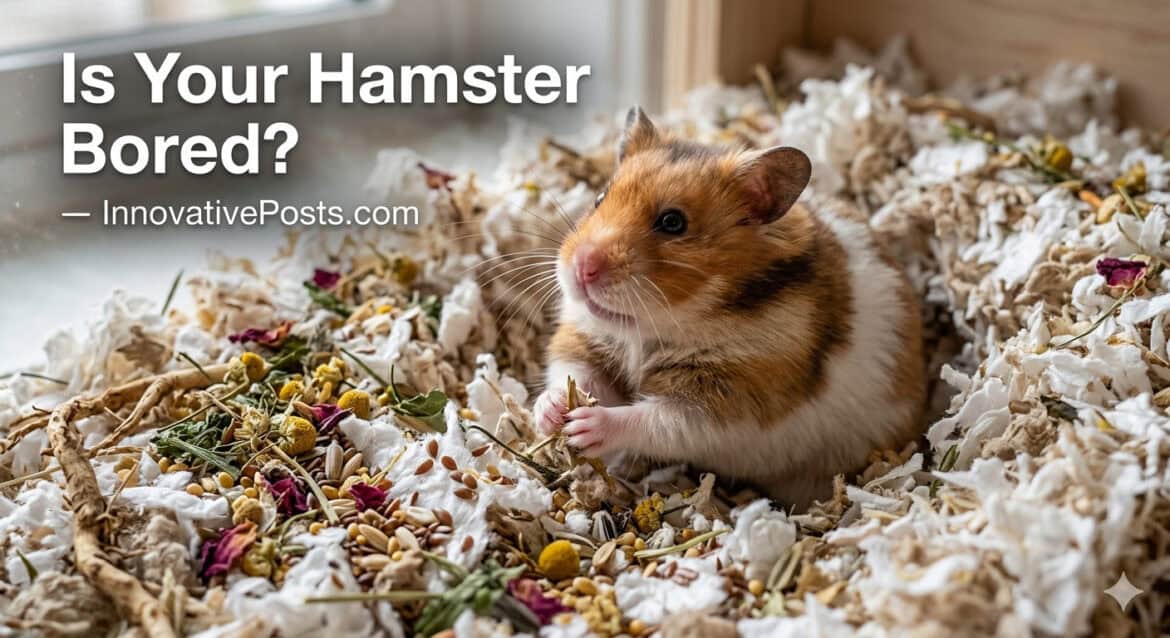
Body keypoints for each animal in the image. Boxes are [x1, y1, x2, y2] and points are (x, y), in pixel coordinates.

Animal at [533, 106, 925, 506]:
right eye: (599, 198)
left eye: (672, 222)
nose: (582, 267)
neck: (650, 328)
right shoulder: (586, 340)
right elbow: (575, 373)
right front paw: (552, 412)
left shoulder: (728, 402)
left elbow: (658, 421)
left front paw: (585, 427)